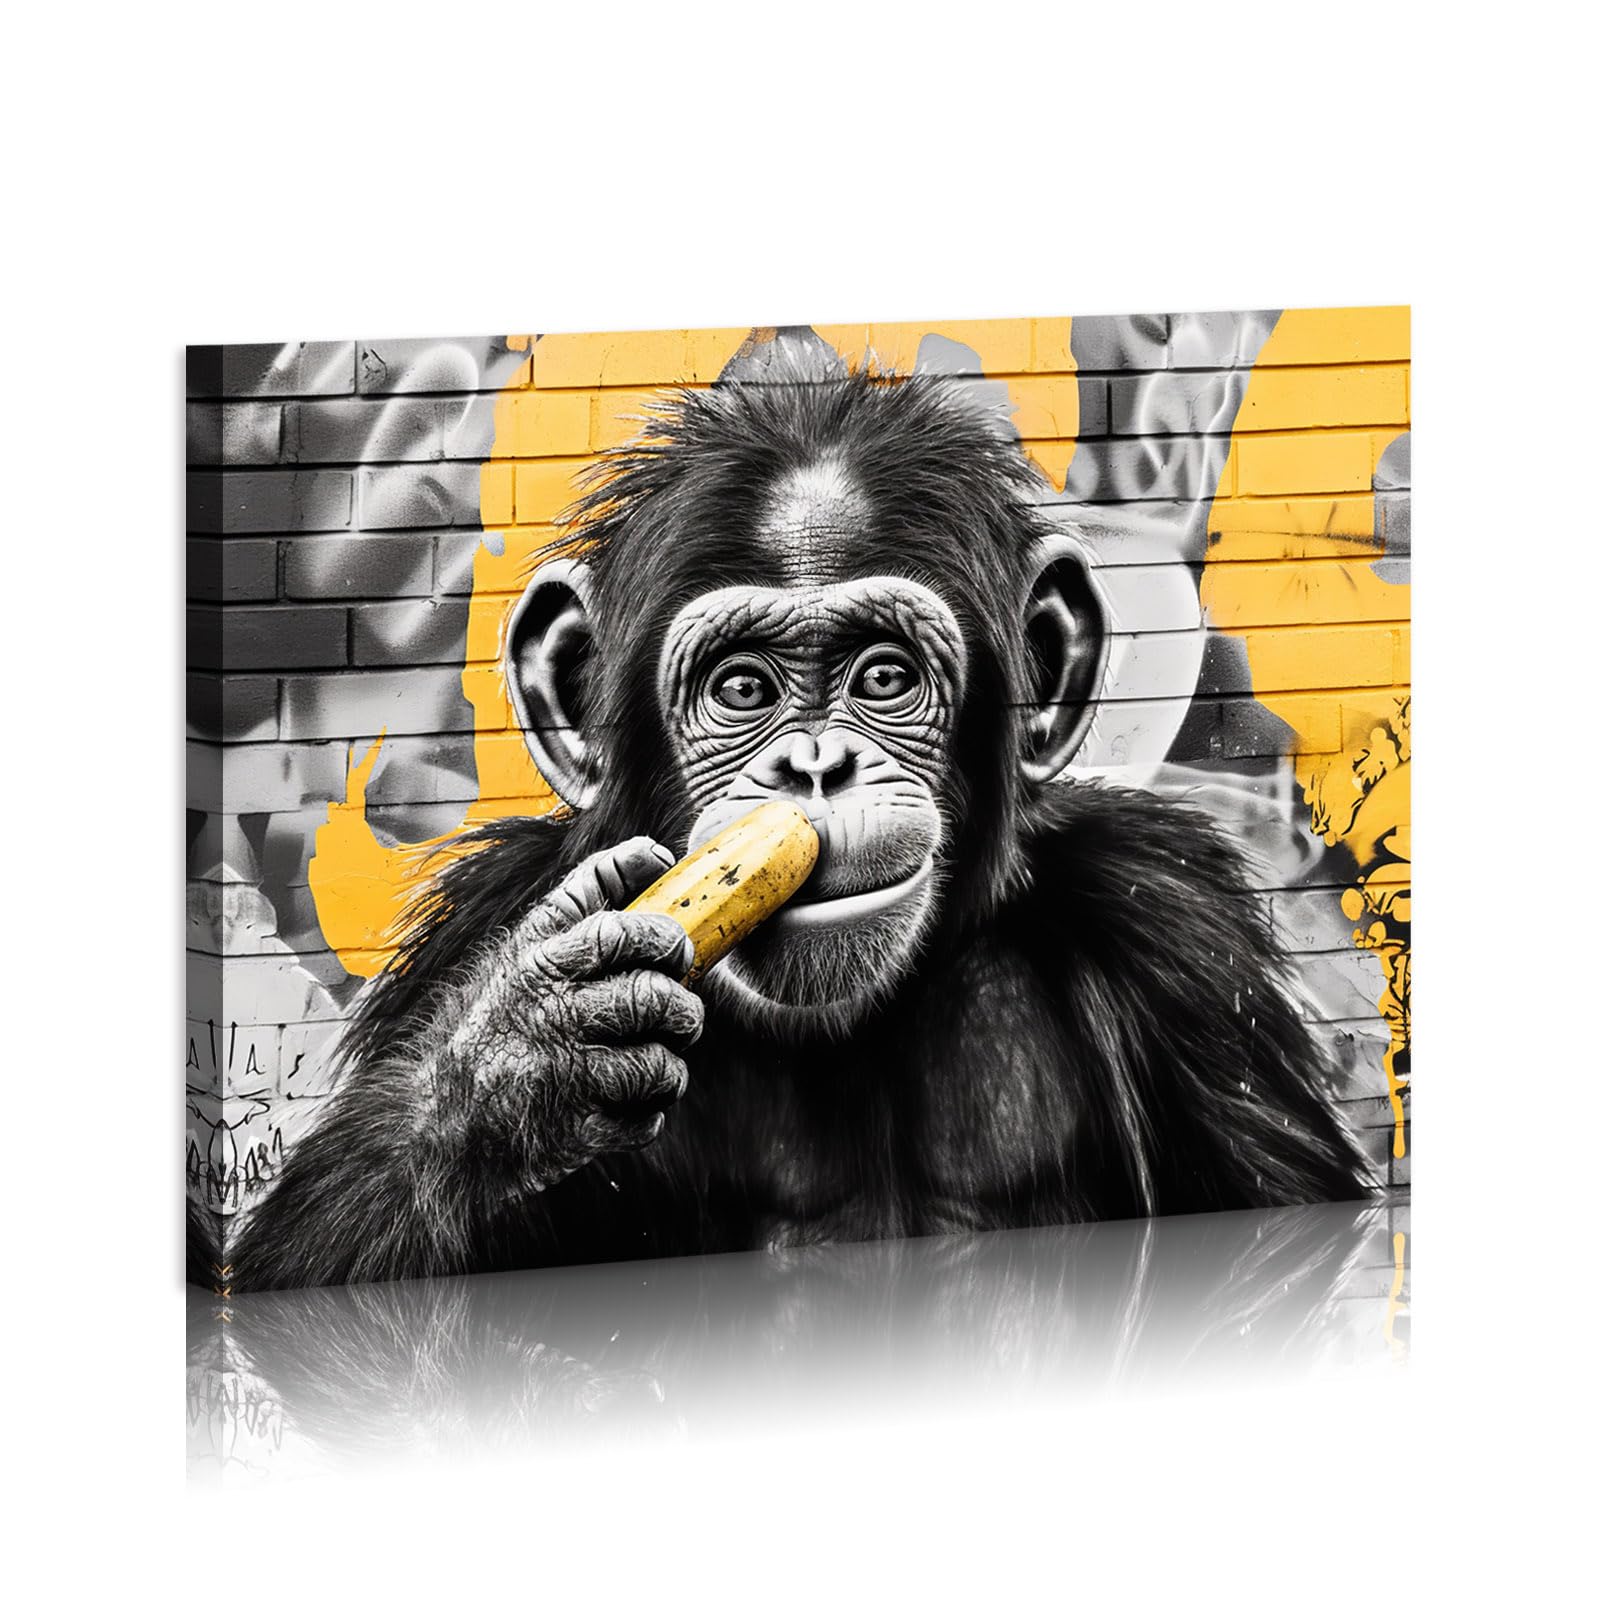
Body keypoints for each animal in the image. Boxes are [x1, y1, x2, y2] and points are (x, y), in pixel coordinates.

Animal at [227, 366, 1373, 1292]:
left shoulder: (1177, 937)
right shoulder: (477, 927)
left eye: (884, 678)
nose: (815, 766)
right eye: (742, 687)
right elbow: (300, 1260)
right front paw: (520, 1054)